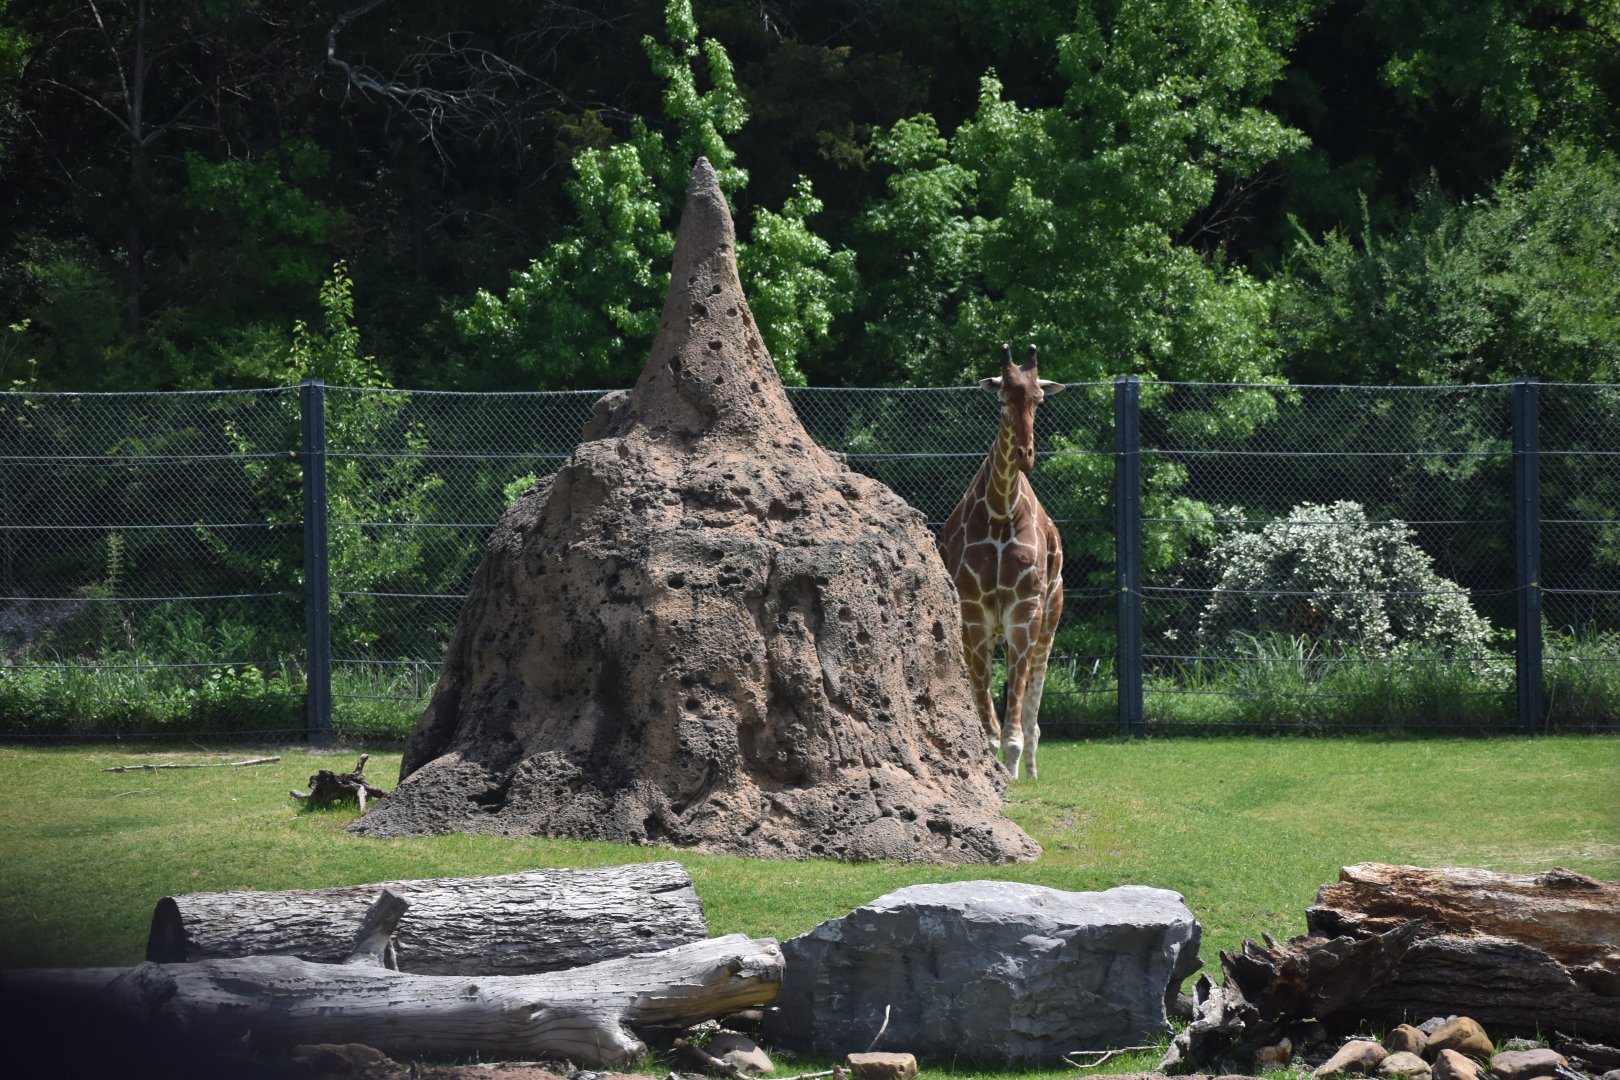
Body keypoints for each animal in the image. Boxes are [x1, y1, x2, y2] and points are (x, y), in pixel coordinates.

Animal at [939, 343, 1066, 780]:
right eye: (1002, 398)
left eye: (1039, 398)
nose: (1025, 455)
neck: (999, 511)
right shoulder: (974, 613)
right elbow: (987, 725)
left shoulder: (1024, 612)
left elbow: (1012, 728)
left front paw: (1012, 775)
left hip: (1049, 620)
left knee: (1033, 714)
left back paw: (1031, 771)